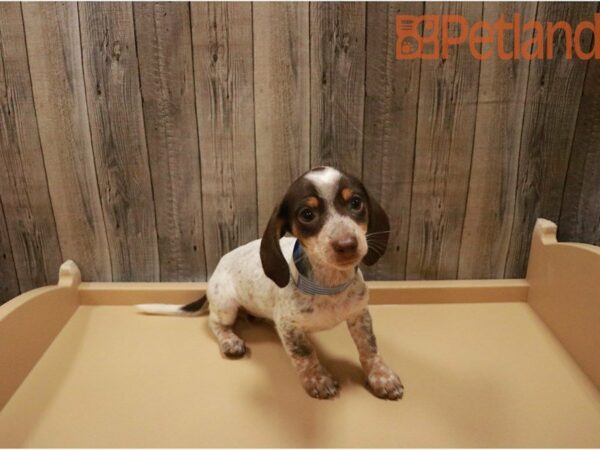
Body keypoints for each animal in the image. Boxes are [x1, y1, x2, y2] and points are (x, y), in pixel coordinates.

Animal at [137, 167, 404, 400]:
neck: (329, 285)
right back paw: (230, 340)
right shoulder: (289, 327)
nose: (347, 244)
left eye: (356, 203)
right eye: (307, 214)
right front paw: (318, 379)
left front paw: (381, 377)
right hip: (226, 305)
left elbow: (369, 348)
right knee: (215, 323)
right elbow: (305, 354)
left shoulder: (360, 314)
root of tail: (215, 271)